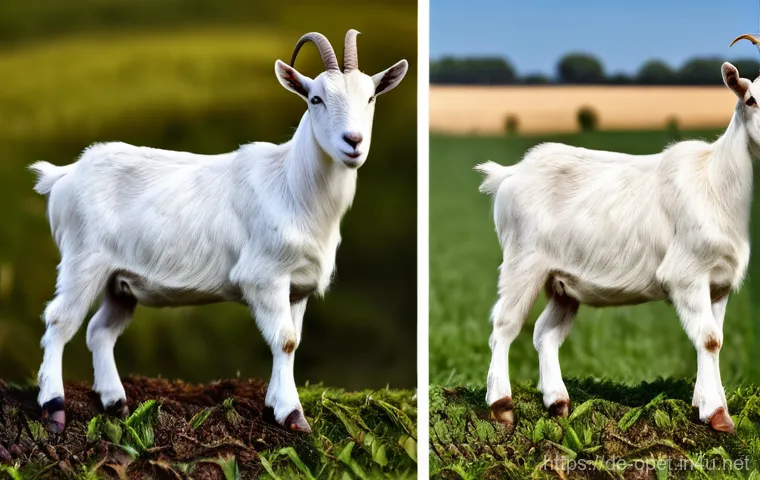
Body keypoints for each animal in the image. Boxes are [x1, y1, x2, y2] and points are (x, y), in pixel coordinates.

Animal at [28, 30, 408, 434]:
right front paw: (292, 413)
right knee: (59, 321)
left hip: (120, 280)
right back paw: (53, 407)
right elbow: (286, 341)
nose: (353, 141)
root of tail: (64, 174)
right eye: (315, 98)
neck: (292, 186)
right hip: (83, 260)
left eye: (370, 97)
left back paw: (115, 401)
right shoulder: (264, 276)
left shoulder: (298, 288)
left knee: (99, 330)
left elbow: (293, 342)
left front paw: (276, 407)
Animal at [475, 39, 760, 433]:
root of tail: (509, 173)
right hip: (522, 263)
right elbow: (709, 339)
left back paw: (558, 402)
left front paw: (706, 405)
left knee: (545, 333)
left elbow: (714, 339)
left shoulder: (718, 284)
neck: (715, 182)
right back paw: (501, 405)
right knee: (504, 325)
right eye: (751, 99)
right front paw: (717, 413)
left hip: (562, 281)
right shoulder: (686, 274)